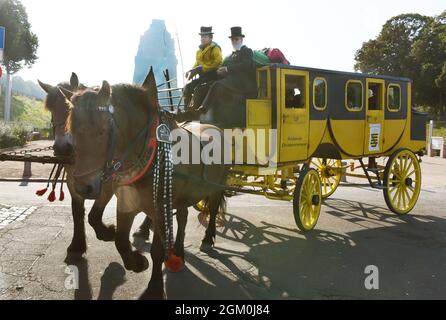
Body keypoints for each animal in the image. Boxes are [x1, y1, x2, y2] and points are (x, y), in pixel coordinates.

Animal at [37, 74, 152, 262]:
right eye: (52, 110)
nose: (62, 148)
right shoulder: (74, 183)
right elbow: (77, 212)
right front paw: (77, 244)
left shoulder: (108, 182)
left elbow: (93, 216)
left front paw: (107, 233)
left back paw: (144, 228)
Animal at [63, 69, 226, 298]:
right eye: (71, 130)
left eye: (103, 131)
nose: (82, 187)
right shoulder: (127, 201)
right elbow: (120, 240)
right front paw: (136, 261)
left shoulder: (160, 206)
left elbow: (157, 251)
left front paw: (155, 287)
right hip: (183, 195)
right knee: (183, 217)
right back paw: (178, 250)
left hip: (216, 186)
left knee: (212, 210)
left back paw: (207, 238)